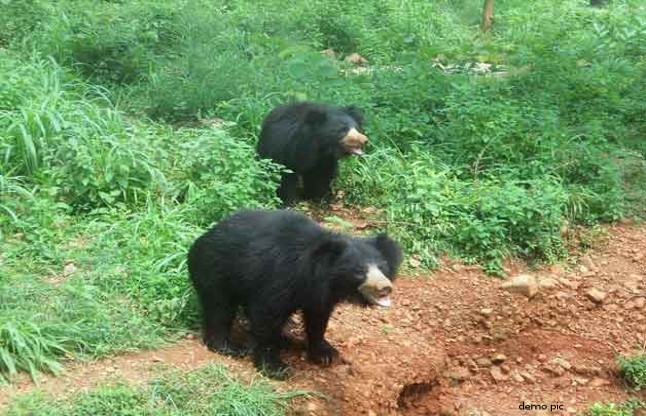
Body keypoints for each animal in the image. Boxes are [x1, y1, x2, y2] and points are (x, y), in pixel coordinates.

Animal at [186, 210, 404, 378]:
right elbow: (267, 315)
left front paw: (326, 353)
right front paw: (275, 367)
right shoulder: (280, 277)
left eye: (382, 267)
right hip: (216, 270)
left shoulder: (319, 293)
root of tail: (203, 237)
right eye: (359, 271)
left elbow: (318, 317)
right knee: (219, 307)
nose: (385, 287)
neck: (315, 274)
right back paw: (229, 346)